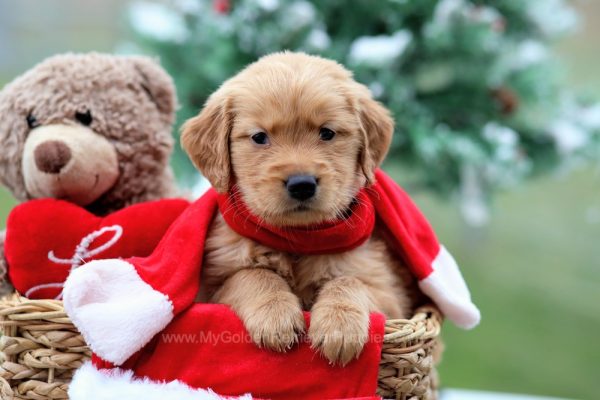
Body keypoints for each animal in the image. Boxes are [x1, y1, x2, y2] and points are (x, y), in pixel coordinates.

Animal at [180, 50, 420, 366]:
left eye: (327, 133)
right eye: (259, 137)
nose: (302, 185)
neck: (299, 239)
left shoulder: (390, 295)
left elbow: (349, 280)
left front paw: (339, 326)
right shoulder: (210, 288)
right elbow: (252, 274)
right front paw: (275, 315)